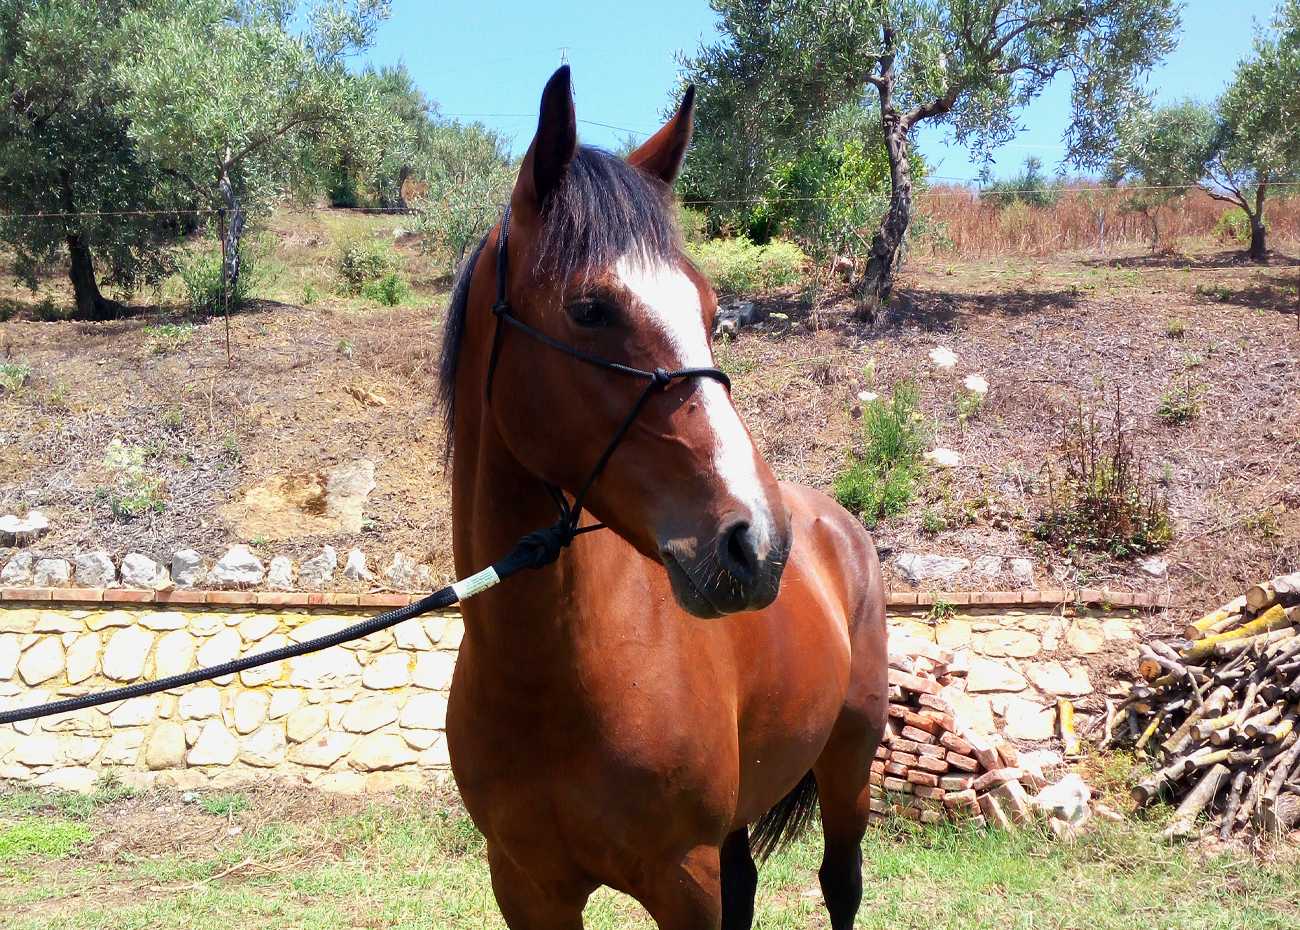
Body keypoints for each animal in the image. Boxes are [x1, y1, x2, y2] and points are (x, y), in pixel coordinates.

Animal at [441, 61, 889, 926]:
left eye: (711, 310)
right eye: (589, 308)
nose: (756, 543)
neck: (552, 674)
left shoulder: (684, 881)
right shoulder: (526, 886)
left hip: (850, 766)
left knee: (841, 883)